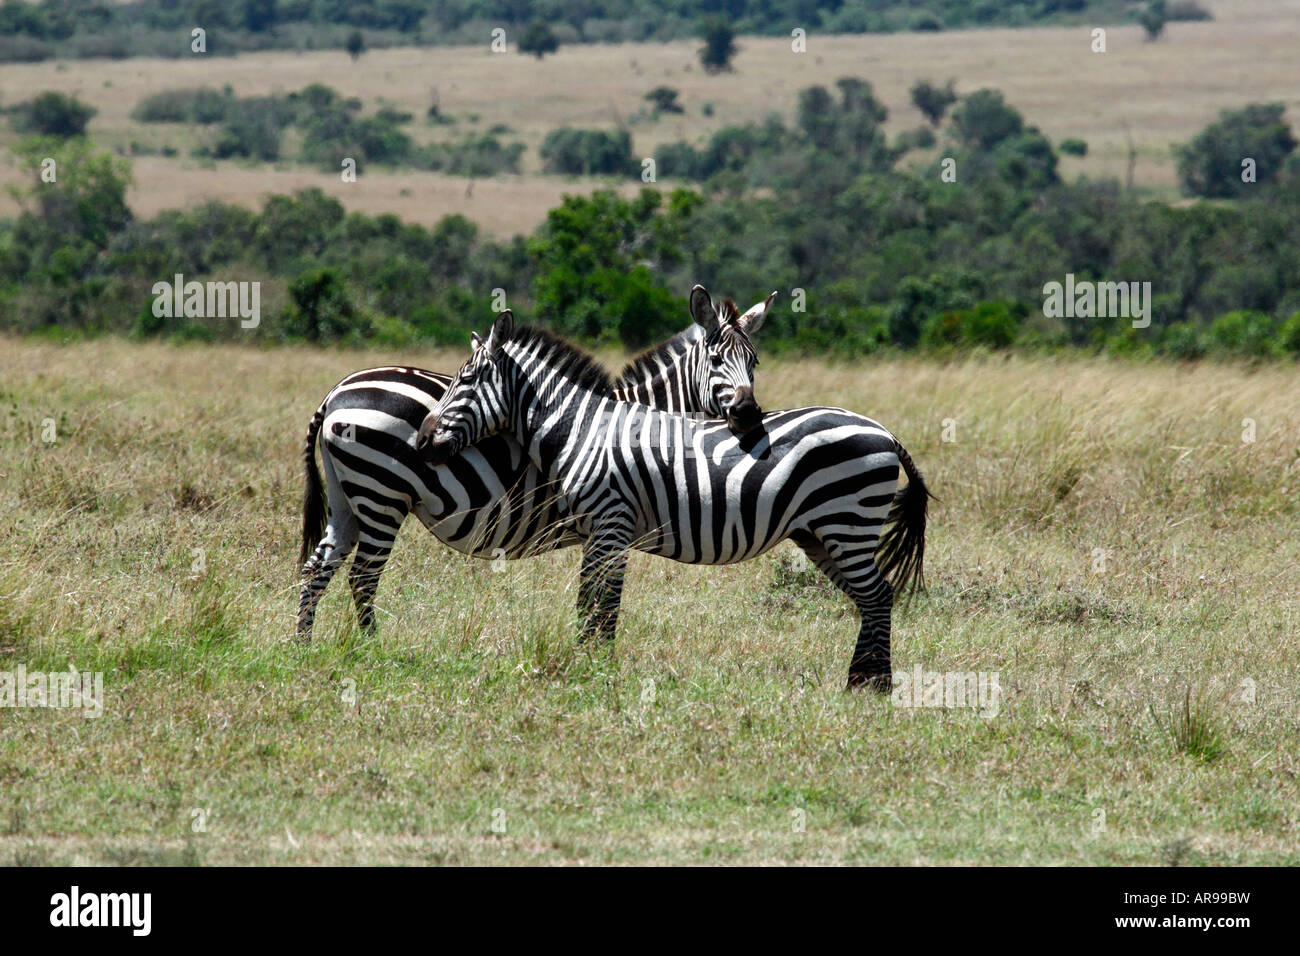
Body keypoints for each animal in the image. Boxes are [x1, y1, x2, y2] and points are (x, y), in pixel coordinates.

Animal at [299, 283, 774, 642]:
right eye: (716, 360)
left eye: (755, 362)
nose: (749, 416)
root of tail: (336, 392)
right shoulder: (614, 523)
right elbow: (602, 604)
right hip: (382, 495)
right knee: (363, 576)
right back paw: (370, 647)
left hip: (347, 497)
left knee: (317, 568)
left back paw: (303, 645)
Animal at [421, 310, 930, 691]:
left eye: (466, 379)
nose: (423, 440)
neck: (583, 431)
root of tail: (883, 430)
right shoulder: (600, 531)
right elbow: (593, 601)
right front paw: (591, 663)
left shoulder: (611, 524)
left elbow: (600, 604)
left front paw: (594, 669)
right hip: (821, 534)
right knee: (869, 598)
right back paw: (859, 681)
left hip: (848, 521)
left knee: (877, 594)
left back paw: (875, 686)